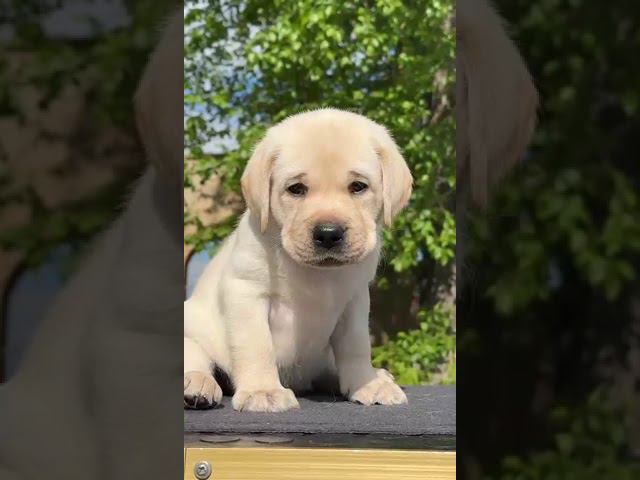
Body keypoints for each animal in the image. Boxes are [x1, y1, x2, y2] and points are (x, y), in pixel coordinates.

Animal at [184, 109, 413, 412]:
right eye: (296, 189)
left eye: (358, 187)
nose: (328, 234)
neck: (316, 274)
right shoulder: (246, 292)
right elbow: (256, 345)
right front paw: (263, 390)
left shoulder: (354, 300)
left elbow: (356, 346)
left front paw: (366, 383)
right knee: (197, 359)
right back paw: (197, 383)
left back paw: (379, 376)